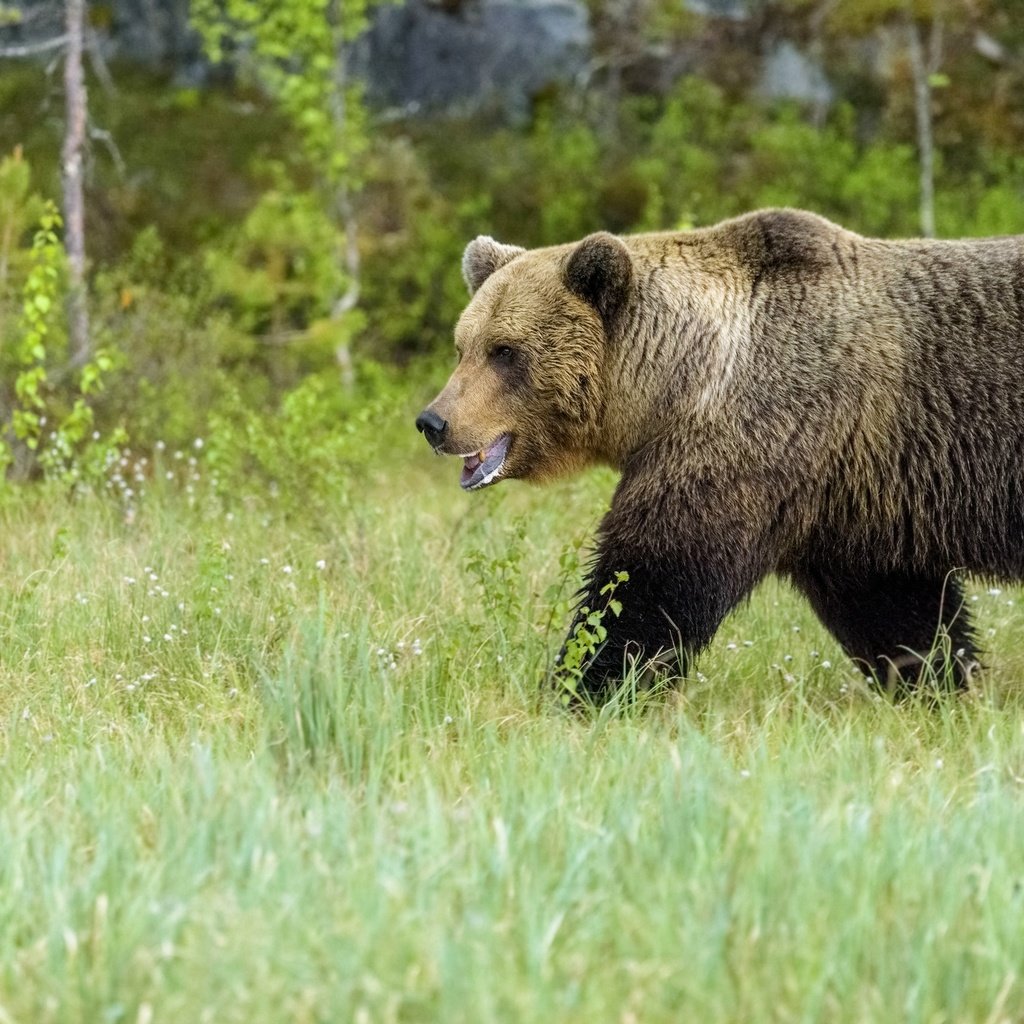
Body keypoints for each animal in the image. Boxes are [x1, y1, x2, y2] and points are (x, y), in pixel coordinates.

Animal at [413, 207, 1024, 704]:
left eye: (505, 351)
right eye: (463, 347)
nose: (433, 422)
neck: (669, 384)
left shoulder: (759, 437)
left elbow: (654, 579)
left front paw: (585, 688)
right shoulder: (853, 495)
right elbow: (895, 607)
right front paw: (939, 683)